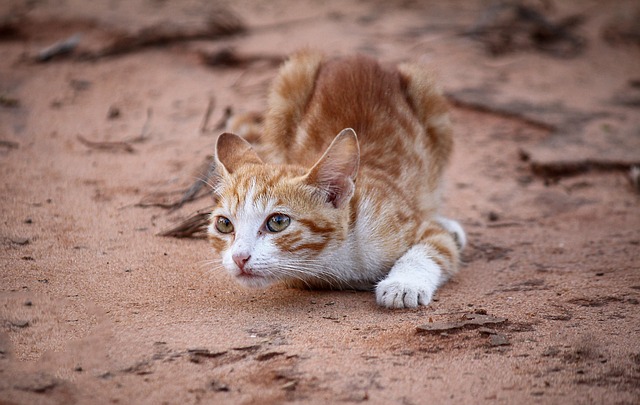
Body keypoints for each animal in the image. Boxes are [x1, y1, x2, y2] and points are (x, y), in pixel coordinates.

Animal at [209, 51, 464, 310]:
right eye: (224, 224)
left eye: (278, 222)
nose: (239, 257)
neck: (339, 257)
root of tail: (355, 56)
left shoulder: (412, 224)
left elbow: (434, 247)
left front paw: (402, 284)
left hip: (429, 100)